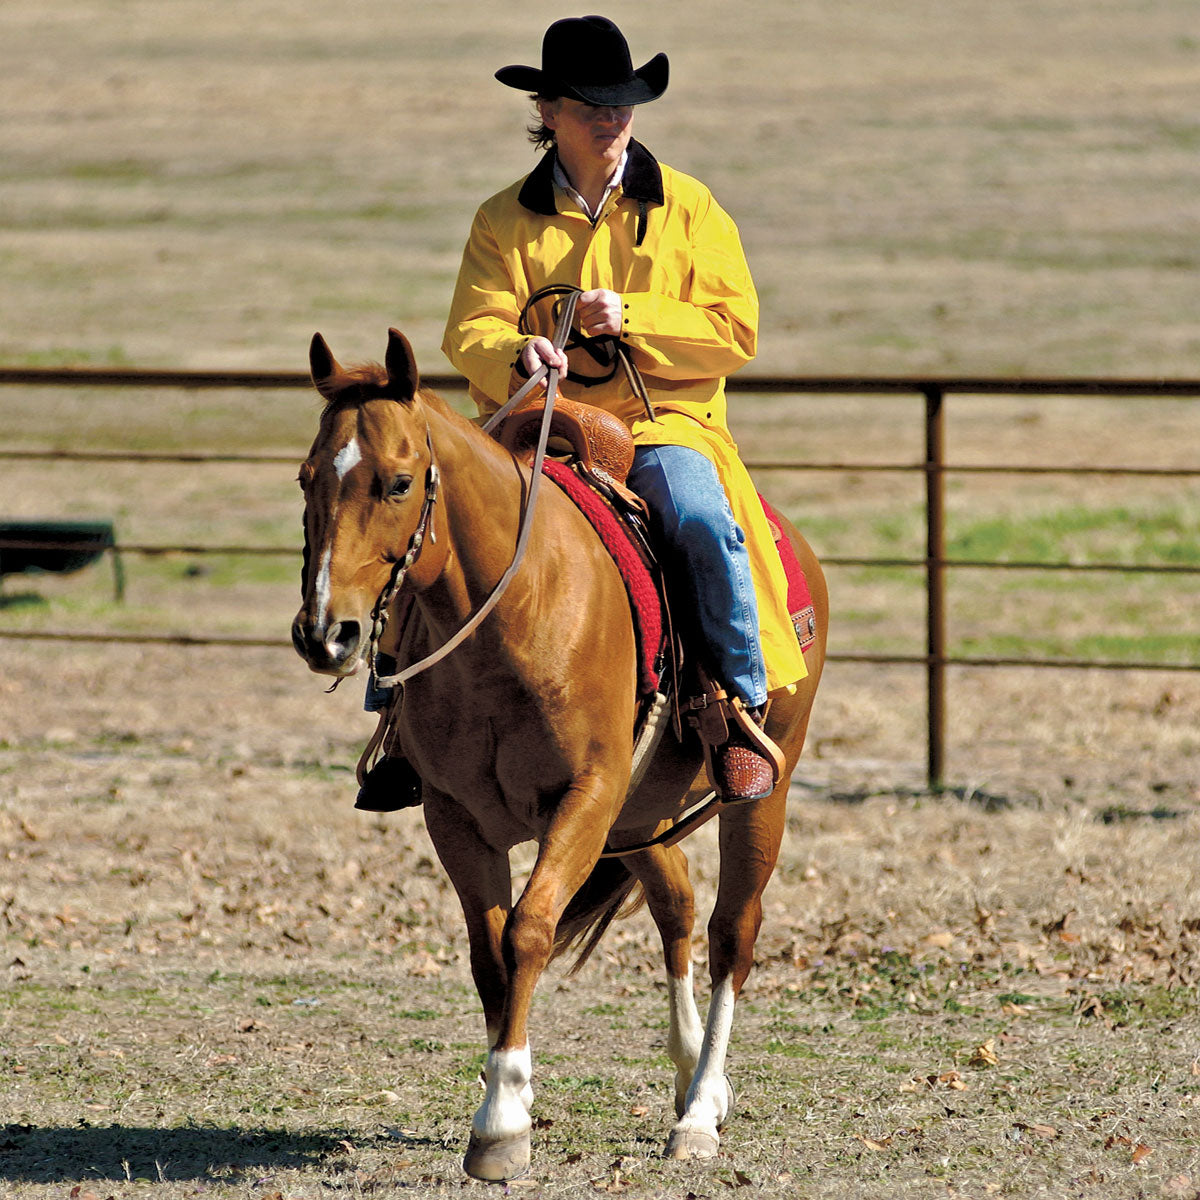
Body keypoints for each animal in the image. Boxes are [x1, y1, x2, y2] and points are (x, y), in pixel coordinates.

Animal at [295, 328, 830, 1180]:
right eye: (307, 477)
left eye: (398, 482)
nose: (325, 632)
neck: (515, 613)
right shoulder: (456, 817)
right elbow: (489, 953)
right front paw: (500, 1102)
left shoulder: (584, 797)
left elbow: (529, 931)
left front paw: (503, 1118)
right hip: (638, 815)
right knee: (677, 903)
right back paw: (690, 1077)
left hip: (758, 796)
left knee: (730, 931)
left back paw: (700, 1112)